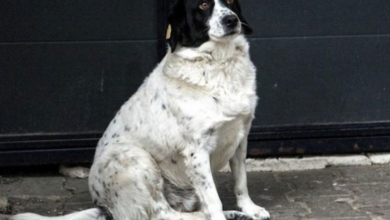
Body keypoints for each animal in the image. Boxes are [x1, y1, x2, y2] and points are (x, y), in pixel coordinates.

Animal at [11, 0, 268, 220]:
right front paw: (224, 213)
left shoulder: (241, 136)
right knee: (163, 213)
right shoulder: (196, 150)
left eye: (231, 1)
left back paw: (235, 213)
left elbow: (241, 181)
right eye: (203, 5)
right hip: (133, 157)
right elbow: (213, 199)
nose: (232, 20)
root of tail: (102, 205)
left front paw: (249, 208)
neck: (219, 64)